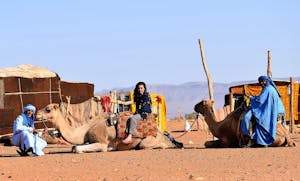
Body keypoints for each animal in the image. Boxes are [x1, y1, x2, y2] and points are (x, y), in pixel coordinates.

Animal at [35, 103, 169, 153]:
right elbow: (74, 147)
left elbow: (77, 148)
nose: (37, 114)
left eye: (48, 109)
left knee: (151, 145)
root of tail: (161, 133)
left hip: (148, 141)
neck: (85, 130)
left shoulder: (102, 143)